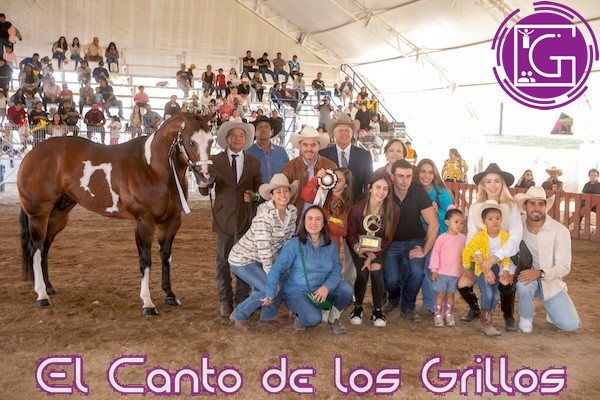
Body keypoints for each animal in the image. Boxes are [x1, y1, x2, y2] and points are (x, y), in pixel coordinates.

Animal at [18, 112, 216, 316]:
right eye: (191, 141)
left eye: (211, 140)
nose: (206, 180)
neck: (153, 168)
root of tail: (32, 154)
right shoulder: (144, 222)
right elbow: (145, 259)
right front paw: (147, 303)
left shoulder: (172, 222)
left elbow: (166, 256)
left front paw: (170, 295)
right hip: (38, 215)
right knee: (36, 249)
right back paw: (42, 296)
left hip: (58, 216)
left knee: (45, 249)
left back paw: (48, 287)